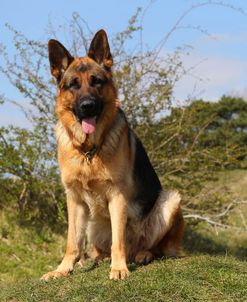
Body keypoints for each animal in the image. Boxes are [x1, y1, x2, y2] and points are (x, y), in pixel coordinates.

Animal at [41, 29, 183, 280]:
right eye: (73, 85)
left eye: (96, 81)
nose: (87, 106)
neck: (89, 152)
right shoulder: (74, 199)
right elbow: (72, 242)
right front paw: (62, 269)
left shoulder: (117, 196)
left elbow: (119, 240)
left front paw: (119, 268)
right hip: (92, 222)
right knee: (99, 247)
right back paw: (98, 259)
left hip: (170, 200)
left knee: (153, 246)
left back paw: (142, 254)